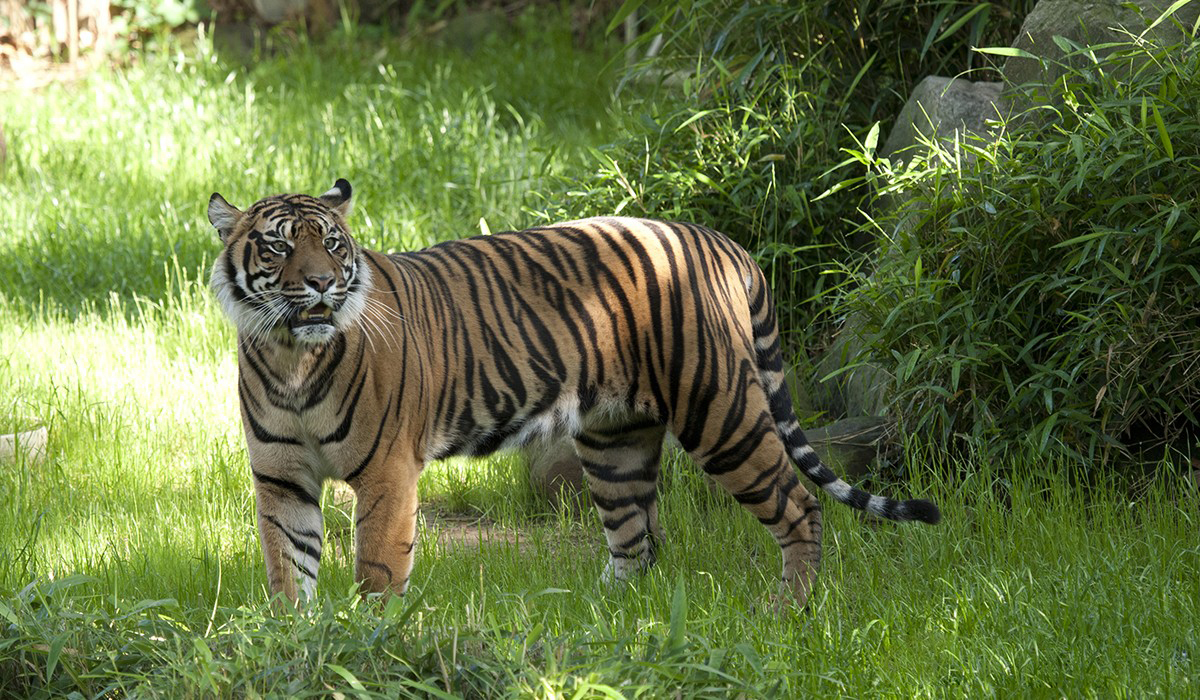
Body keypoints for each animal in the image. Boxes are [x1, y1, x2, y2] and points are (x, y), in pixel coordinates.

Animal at [204, 178, 936, 607]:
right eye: (277, 248)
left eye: (330, 244)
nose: (323, 284)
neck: (291, 356)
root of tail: (723, 242)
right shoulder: (282, 478)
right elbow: (286, 569)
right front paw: (297, 643)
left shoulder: (386, 473)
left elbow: (377, 571)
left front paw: (369, 640)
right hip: (615, 440)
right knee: (637, 542)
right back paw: (597, 619)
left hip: (721, 410)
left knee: (799, 506)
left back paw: (789, 610)